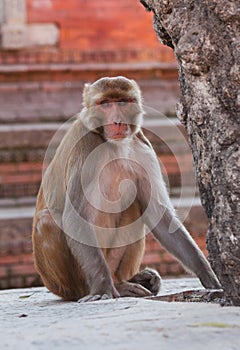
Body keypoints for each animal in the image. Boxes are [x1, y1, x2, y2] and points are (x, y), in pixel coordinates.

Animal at [32, 76, 221, 300]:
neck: (113, 144)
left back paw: (128, 281)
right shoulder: (86, 149)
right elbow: (74, 217)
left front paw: (208, 274)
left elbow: (160, 216)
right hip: (64, 284)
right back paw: (104, 287)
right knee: (47, 221)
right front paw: (102, 288)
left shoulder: (143, 148)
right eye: (105, 104)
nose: (117, 121)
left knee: (136, 206)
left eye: (122, 102)